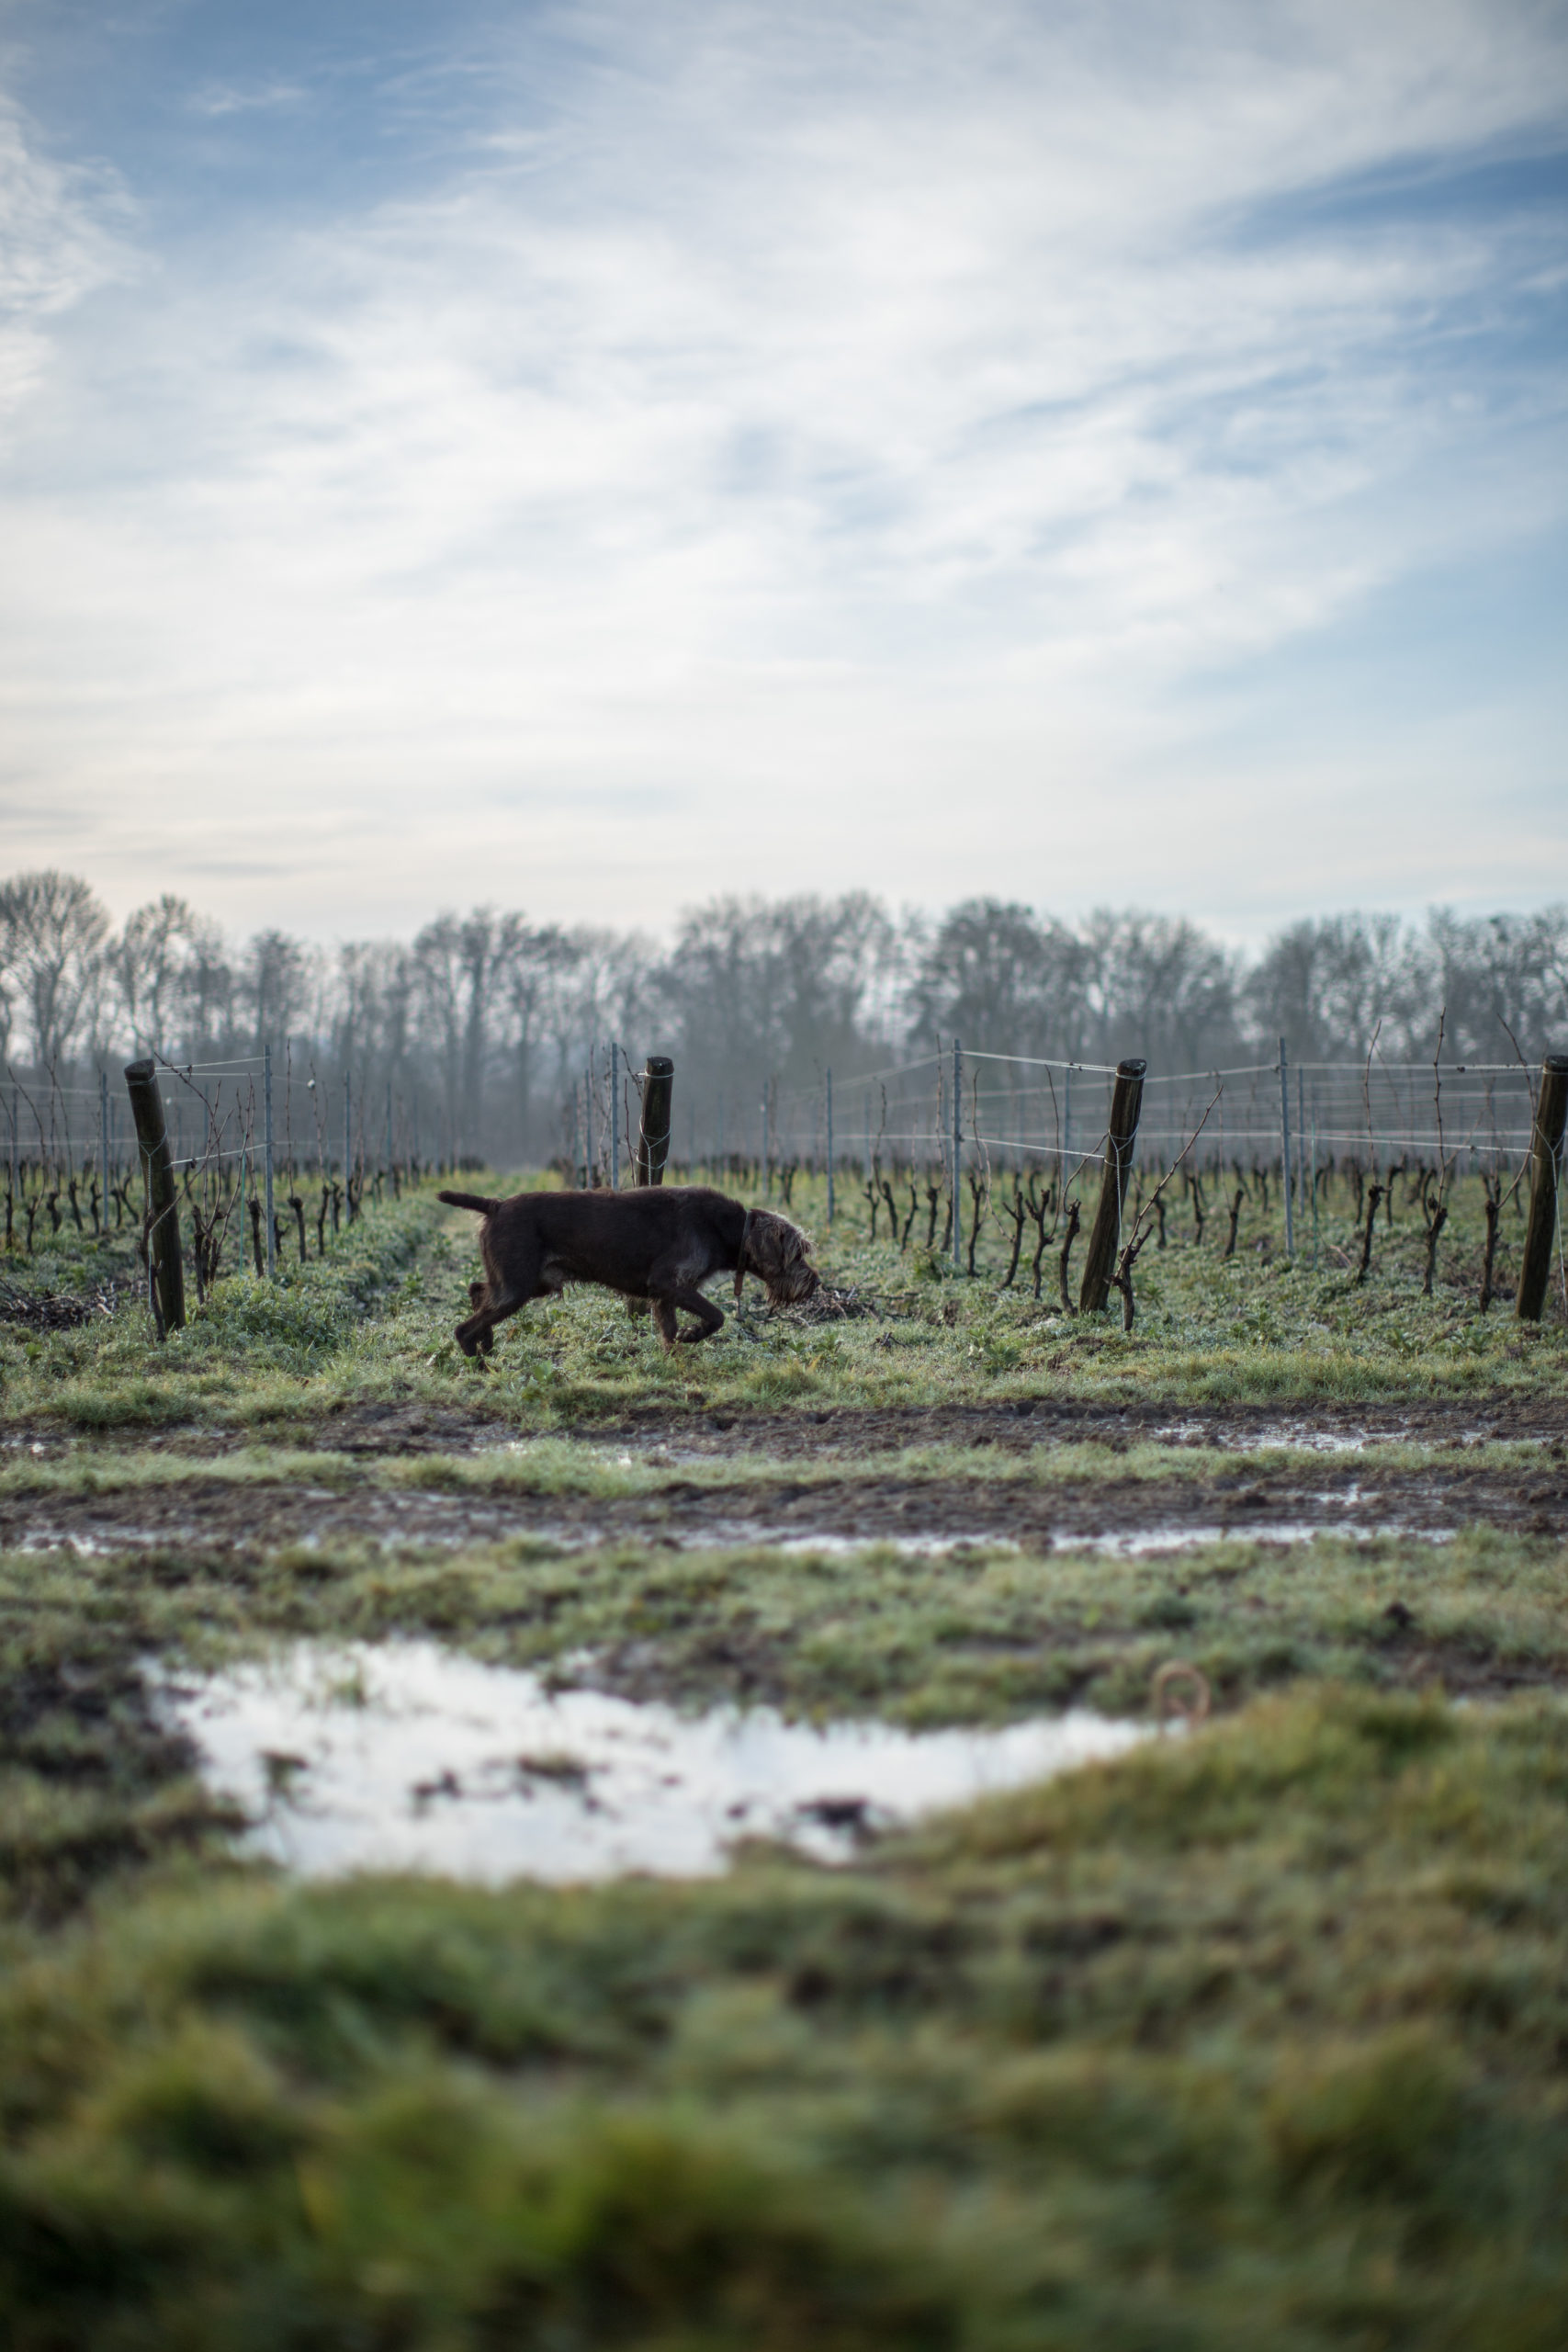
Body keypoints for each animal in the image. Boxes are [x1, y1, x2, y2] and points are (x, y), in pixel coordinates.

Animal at [432, 1185, 818, 1354]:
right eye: (797, 1253)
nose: (814, 1282)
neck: (725, 1228)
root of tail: (496, 1205)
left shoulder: (665, 1294)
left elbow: (669, 1331)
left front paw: (675, 1352)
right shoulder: (668, 1282)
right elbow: (716, 1316)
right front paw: (693, 1335)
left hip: (528, 1282)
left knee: (477, 1290)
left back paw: (487, 1343)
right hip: (518, 1286)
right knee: (464, 1328)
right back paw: (479, 1363)